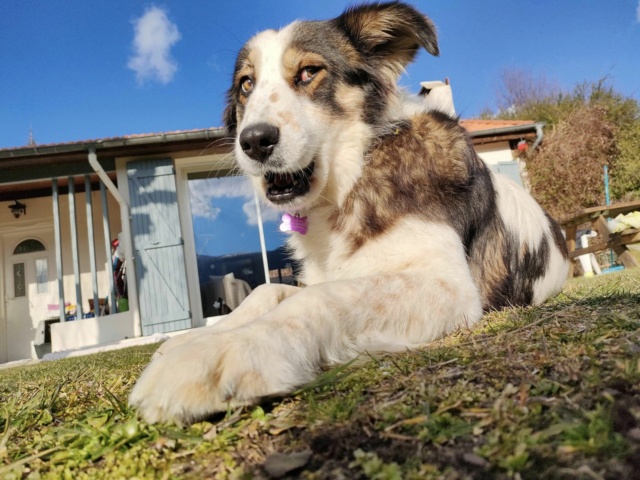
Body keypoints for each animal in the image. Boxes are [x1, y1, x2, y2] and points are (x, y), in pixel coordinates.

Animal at [130, 2, 568, 424]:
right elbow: (267, 290)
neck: (356, 174)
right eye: (246, 84)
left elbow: (318, 299)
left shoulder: (450, 287)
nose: (254, 141)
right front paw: (189, 340)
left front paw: (219, 352)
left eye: (309, 72)